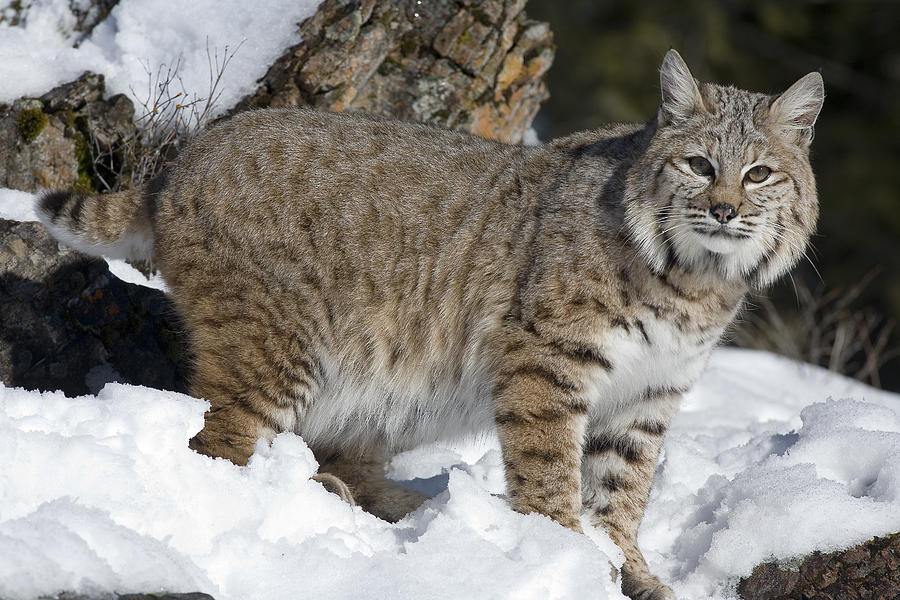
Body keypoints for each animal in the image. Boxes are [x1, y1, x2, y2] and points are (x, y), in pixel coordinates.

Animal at [37, 52, 824, 600]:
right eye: (699, 165)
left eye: (758, 174)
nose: (724, 210)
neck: (695, 279)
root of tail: (192, 151)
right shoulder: (548, 359)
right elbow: (550, 469)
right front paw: (564, 554)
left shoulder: (649, 392)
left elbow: (622, 491)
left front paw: (630, 569)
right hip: (283, 343)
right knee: (216, 438)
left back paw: (401, 505)